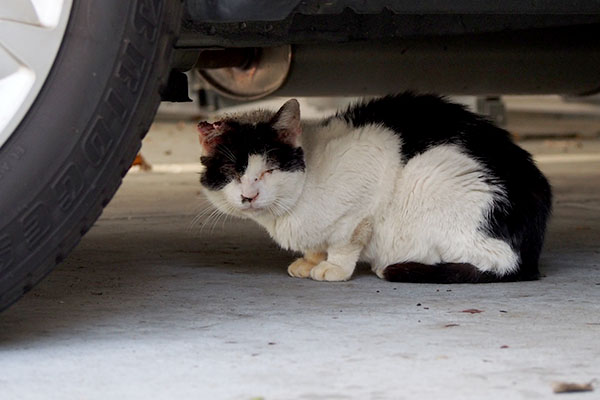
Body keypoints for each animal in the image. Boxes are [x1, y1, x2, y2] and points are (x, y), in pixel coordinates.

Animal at [198, 94, 552, 282]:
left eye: (270, 169)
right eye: (231, 172)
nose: (249, 195)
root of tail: (528, 256)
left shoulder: (366, 181)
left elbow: (345, 240)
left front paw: (332, 267)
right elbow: (316, 245)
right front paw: (310, 260)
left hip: (436, 174)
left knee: (486, 260)